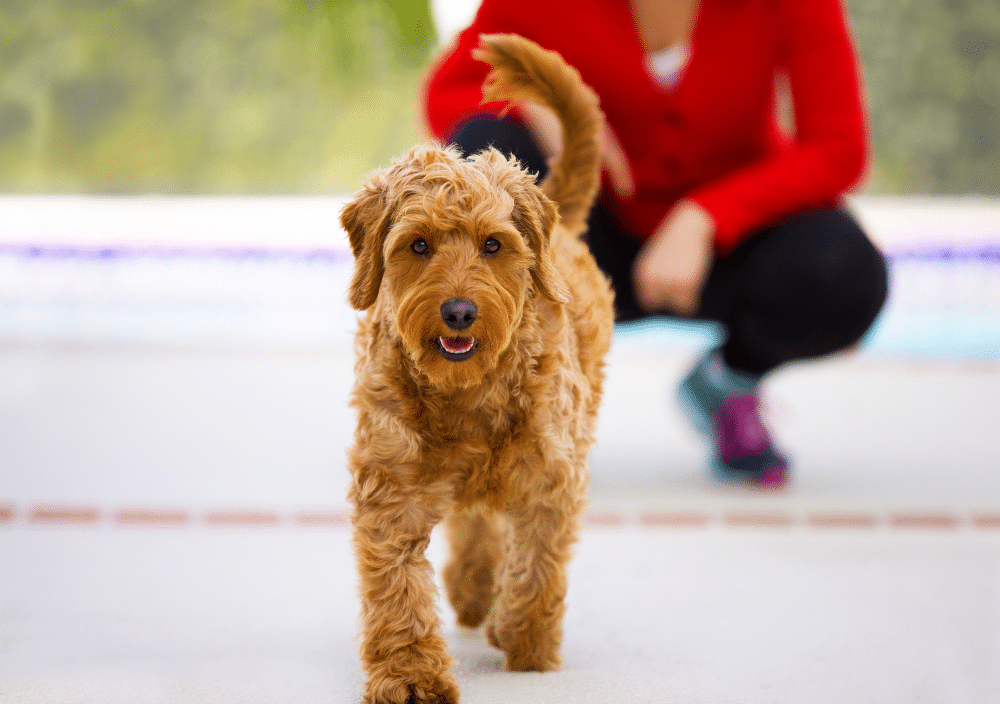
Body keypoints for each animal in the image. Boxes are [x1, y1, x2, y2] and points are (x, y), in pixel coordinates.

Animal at [340, 34, 612, 704]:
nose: (460, 311)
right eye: (418, 245)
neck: (465, 394)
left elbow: (538, 565)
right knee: (473, 524)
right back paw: (471, 588)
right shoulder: (391, 486)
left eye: (493, 244)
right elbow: (398, 588)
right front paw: (410, 675)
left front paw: (526, 642)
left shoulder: (551, 477)